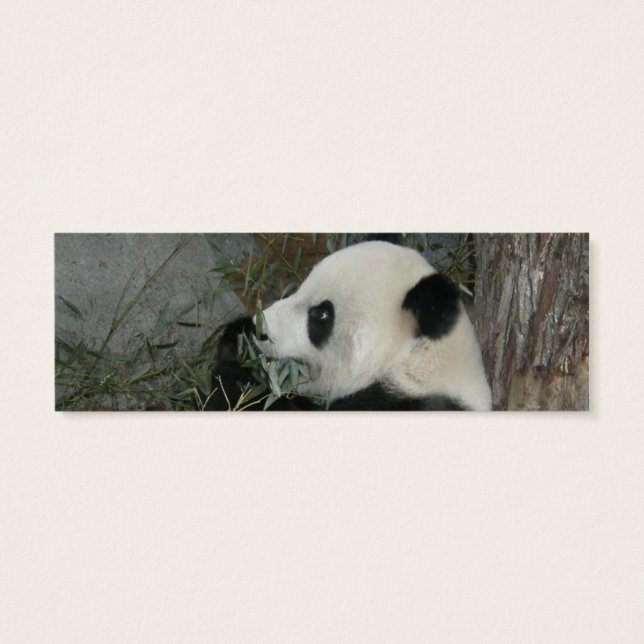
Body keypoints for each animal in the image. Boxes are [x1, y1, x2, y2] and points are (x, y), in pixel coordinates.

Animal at [207, 240, 492, 411]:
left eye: (321, 315)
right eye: (301, 286)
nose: (260, 331)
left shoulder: (398, 403)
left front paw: (234, 373)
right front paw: (238, 337)